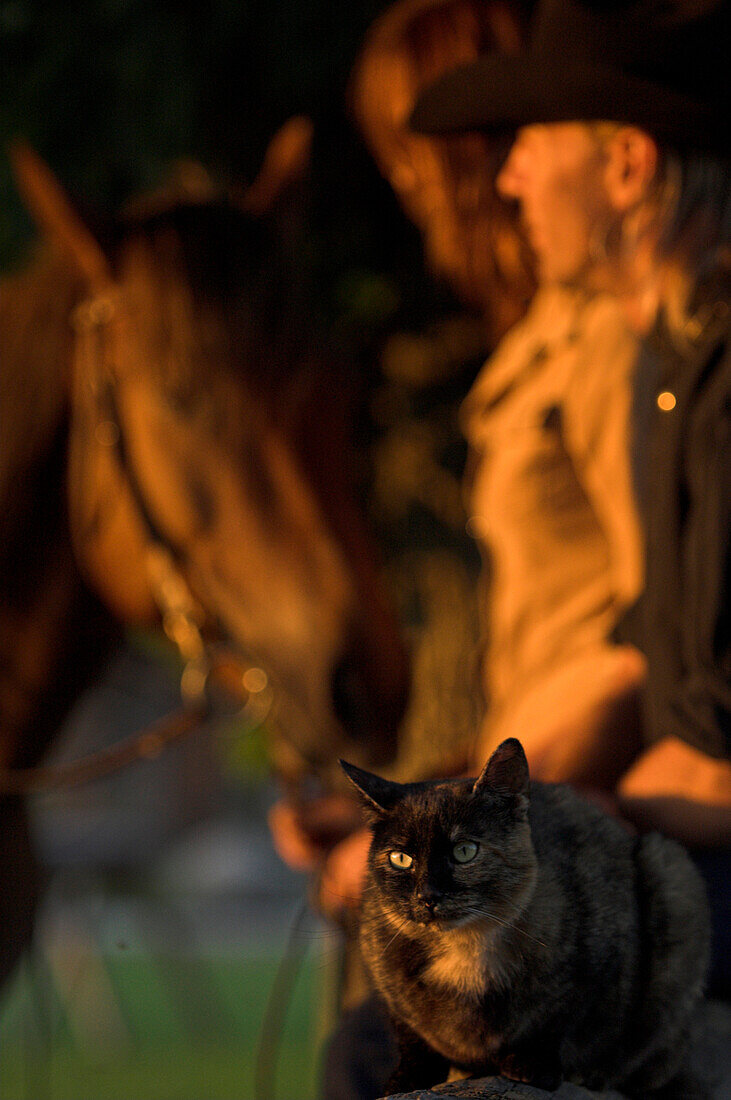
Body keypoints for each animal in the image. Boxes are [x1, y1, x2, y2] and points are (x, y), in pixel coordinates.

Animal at [338, 739, 707, 1100]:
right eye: (400, 858)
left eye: (464, 851)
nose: (428, 896)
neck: (467, 946)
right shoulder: (386, 983)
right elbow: (414, 1040)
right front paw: (407, 1081)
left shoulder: (597, 963)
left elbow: (559, 1020)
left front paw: (533, 1065)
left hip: (670, 871)